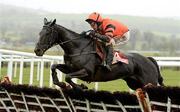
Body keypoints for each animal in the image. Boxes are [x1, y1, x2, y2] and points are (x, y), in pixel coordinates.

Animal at [34, 18, 165, 90]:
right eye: (39, 33)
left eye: (47, 33)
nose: (37, 50)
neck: (78, 48)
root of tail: (149, 59)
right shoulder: (70, 68)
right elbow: (54, 66)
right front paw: (61, 84)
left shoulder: (87, 71)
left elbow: (68, 77)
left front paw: (81, 87)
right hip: (135, 84)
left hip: (149, 83)